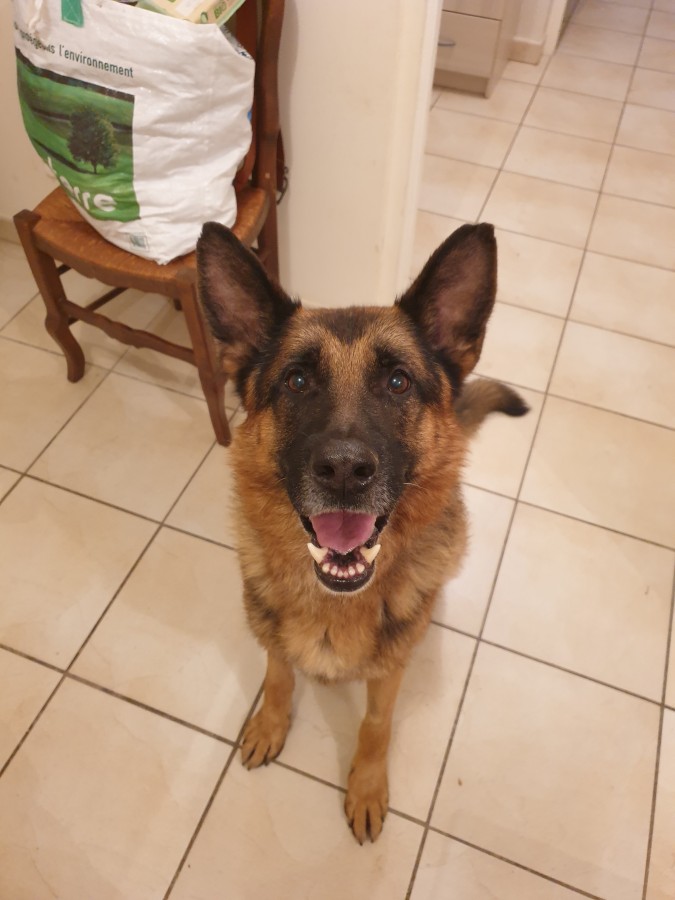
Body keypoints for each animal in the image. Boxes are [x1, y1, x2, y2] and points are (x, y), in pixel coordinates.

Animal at [196, 221, 527, 844]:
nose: (345, 471)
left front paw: (367, 786)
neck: (336, 603)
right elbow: (278, 676)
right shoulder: (272, 639)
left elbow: (376, 724)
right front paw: (270, 724)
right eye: (297, 380)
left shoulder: (389, 673)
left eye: (397, 382)